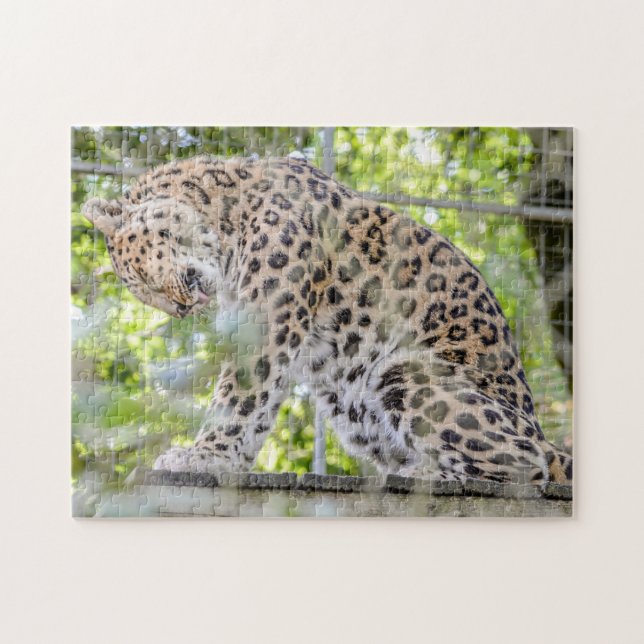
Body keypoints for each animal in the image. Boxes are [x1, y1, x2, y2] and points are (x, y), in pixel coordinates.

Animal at [82, 154, 573, 488]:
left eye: (139, 277)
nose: (183, 310)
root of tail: (541, 428)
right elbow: (256, 409)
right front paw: (226, 463)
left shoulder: (267, 320)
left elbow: (238, 399)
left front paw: (201, 457)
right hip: (351, 406)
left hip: (403, 371)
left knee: (528, 463)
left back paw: (423, 475)